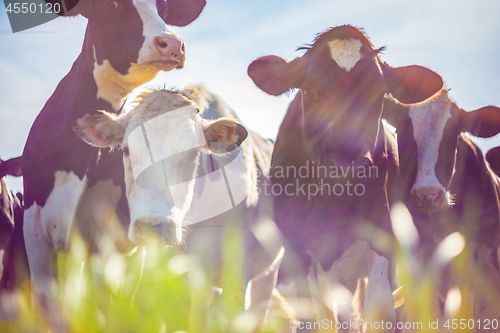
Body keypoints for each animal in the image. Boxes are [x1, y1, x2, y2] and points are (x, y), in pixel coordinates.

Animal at [246, 25, 442, 330]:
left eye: (380, 95)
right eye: (310, 90)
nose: (348, 166)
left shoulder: (382, 229)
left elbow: (380, 311)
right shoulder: (297, 246)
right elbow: (315, 316)